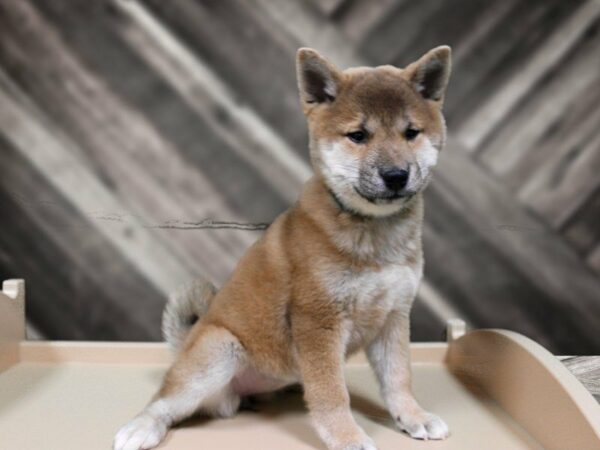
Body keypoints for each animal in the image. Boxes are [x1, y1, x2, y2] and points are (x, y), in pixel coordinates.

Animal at [113, 44, 450, 450]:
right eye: (358, 135)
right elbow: (332, 393)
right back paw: (142, 427)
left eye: (411, 132)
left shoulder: (394, 316)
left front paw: (413, 417)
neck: (374, 233)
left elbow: (399, 379)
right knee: (164, 401)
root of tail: (187, 346)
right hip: (218, 351)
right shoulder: (318, 320)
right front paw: (347, 436)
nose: (396, 175)